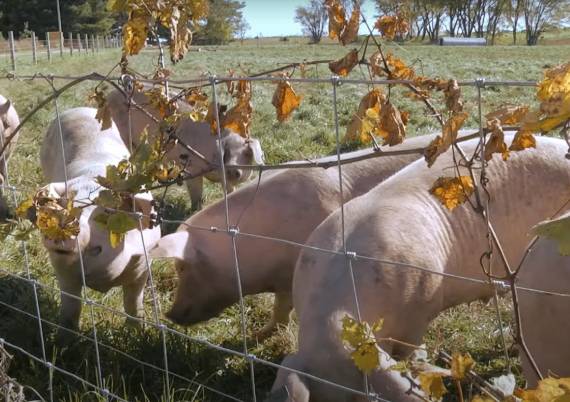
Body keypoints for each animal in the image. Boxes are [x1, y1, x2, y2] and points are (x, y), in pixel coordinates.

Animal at [39, 107, 160, 336]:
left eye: (107, 211)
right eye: (64, 203)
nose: (64, 222)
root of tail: (76, 108)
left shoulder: (143, 264)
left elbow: (133, 303)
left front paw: (137, 333)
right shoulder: (61, 269)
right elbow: (71, 306)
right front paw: (65, 338)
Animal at [105, 86, 262, 209]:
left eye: (247, 153)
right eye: (227, 152)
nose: (233, 169)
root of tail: (110, 94)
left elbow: (230, 191)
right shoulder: (191, 168)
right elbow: (195, 193)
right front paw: (196, 209)